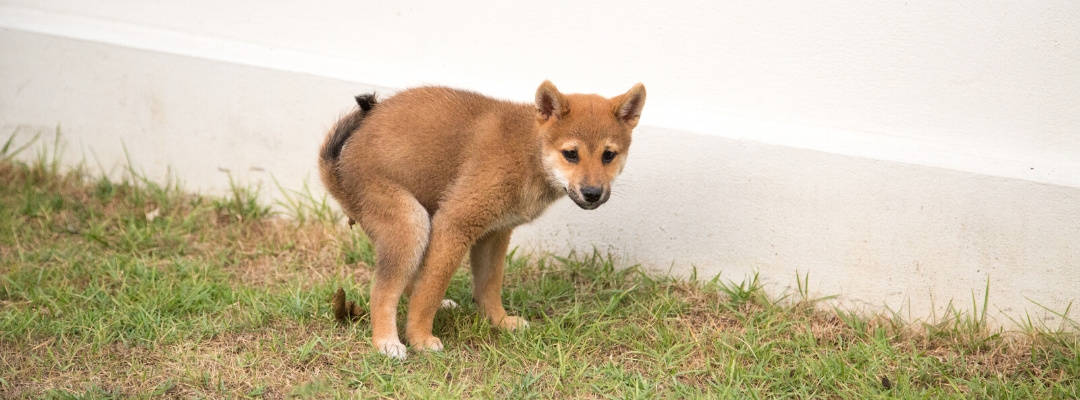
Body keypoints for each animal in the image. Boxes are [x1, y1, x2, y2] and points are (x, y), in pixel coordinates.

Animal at [315, 79, 643, 356]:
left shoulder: (495, 233)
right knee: (383, 290)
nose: (592, 193)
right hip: (411, 222)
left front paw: (500, 322)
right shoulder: (455, 223)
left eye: (608, 155)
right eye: (571, 154)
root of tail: (339, 167)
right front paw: (420, 338)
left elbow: (488, 285)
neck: (527, 151)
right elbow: (430, 291)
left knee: (408, 280)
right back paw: (386, 342)